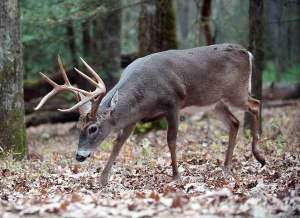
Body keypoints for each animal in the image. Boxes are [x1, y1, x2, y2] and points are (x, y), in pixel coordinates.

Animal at [35, 43, 268, 186]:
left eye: (93, 128)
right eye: (77, 127)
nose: (79, 156)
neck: (146, 96)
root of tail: (247, 52)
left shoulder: (173, 104)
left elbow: (171, 140)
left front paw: (176, 176)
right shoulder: (134, 116)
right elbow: (118, 143)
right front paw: (102, 179)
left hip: (236, 92)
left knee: (255, 104)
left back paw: (260, 156)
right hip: (215, 102)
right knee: (235, 122)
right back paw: (227, 168)